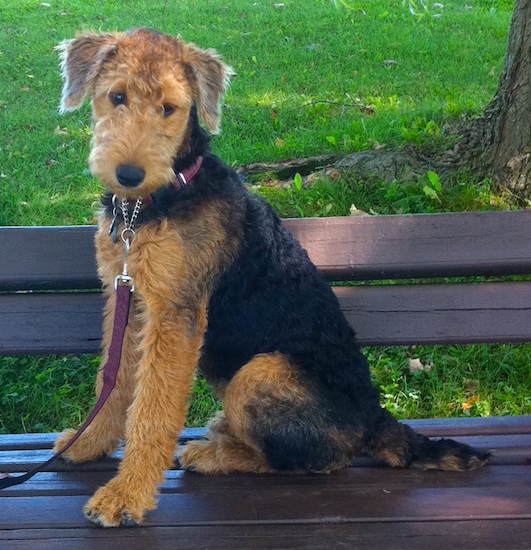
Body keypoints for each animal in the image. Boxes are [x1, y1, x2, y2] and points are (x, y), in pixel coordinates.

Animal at [54, 28, 490, 528]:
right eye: (117, 96)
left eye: (169, 107)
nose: (129, 175)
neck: (150, 205)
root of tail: (374, 416)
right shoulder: (127, 298)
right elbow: (114, 381)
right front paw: (87, 444)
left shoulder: (175, 313)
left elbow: (152, 411)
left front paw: (126, 494)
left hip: (258, 374)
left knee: (319, 460)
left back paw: (213, 453)